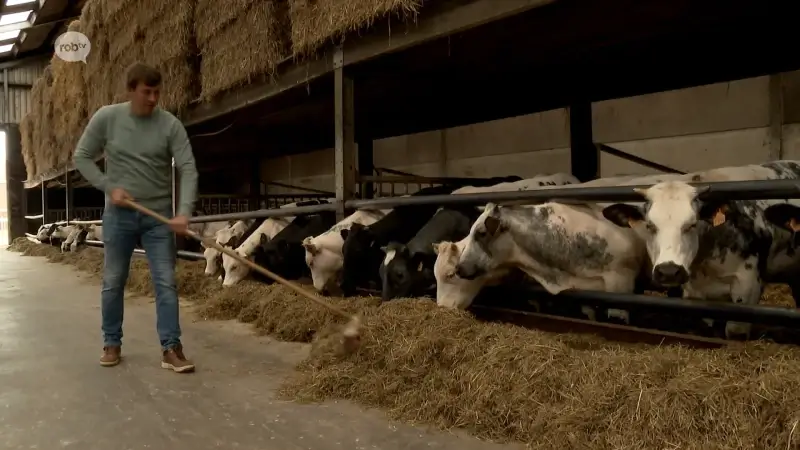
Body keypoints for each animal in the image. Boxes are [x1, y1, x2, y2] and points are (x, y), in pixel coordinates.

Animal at [604, 160, 800, 340]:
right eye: (650, 225)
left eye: (692, 224)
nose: (669, 271)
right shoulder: (696, 293)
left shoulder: (747, 286)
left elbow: (735, 332)